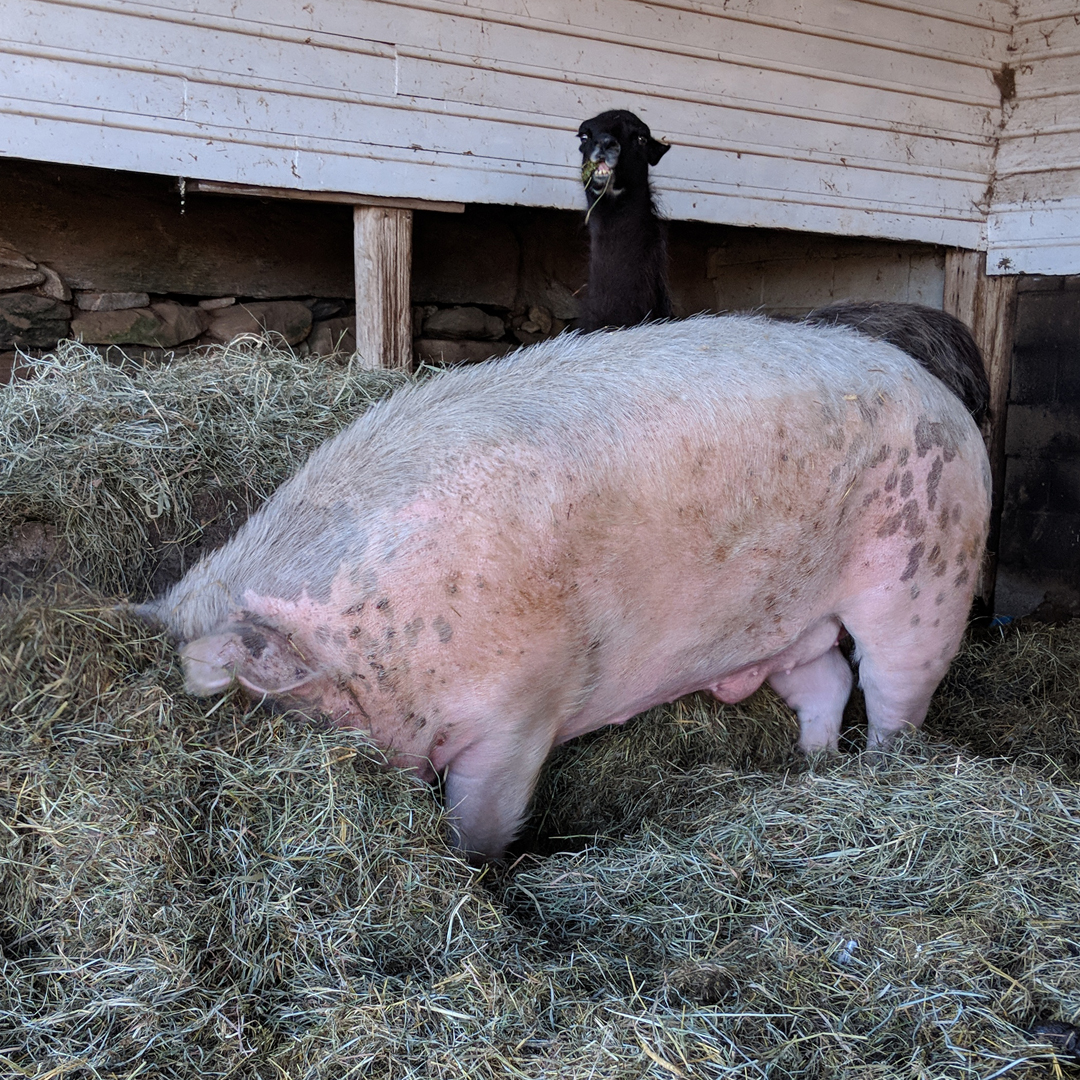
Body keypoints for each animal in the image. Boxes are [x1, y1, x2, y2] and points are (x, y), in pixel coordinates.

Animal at [141, 315, 991, 860]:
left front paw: (477, 873)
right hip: (783, 623)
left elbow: (482, 820)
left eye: (264, 707)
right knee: (824, 682)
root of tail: (951, 404)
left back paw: (875, 773)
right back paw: (812, 767)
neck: (379, 631)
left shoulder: (521, 708)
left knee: (891, 691)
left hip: (928, 578)